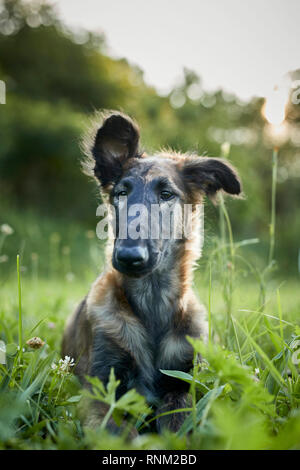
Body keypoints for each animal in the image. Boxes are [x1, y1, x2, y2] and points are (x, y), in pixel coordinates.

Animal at [62, 110, 243, 434]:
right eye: (121, 193)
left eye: (166, 194)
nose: (129, 257)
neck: (152, 300)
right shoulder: (100, 389)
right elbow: (121, 433)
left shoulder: (184, 380)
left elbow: (179, 420)